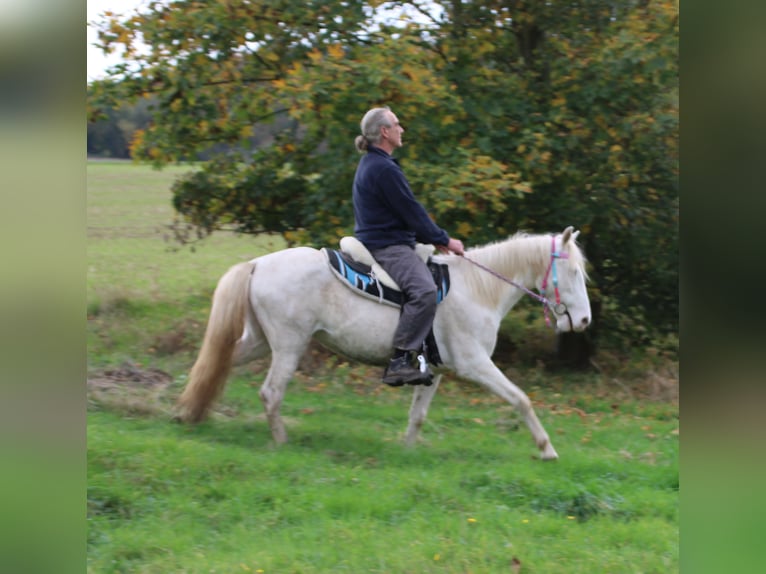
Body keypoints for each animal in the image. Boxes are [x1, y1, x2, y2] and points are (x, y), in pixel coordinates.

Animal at [177, 227, 592, 462]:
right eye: (573, 272)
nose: (584, 321)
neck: (478, 289)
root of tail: (257, 264)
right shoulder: (475, 365)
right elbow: (521, 399)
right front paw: (547, 449)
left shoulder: (436, 371)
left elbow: (417, 415)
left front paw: (406, 452)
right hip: (288, 345)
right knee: (271, 392)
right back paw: (281, 441)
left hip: (262, 343)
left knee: (218, 365)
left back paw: (189, 412)